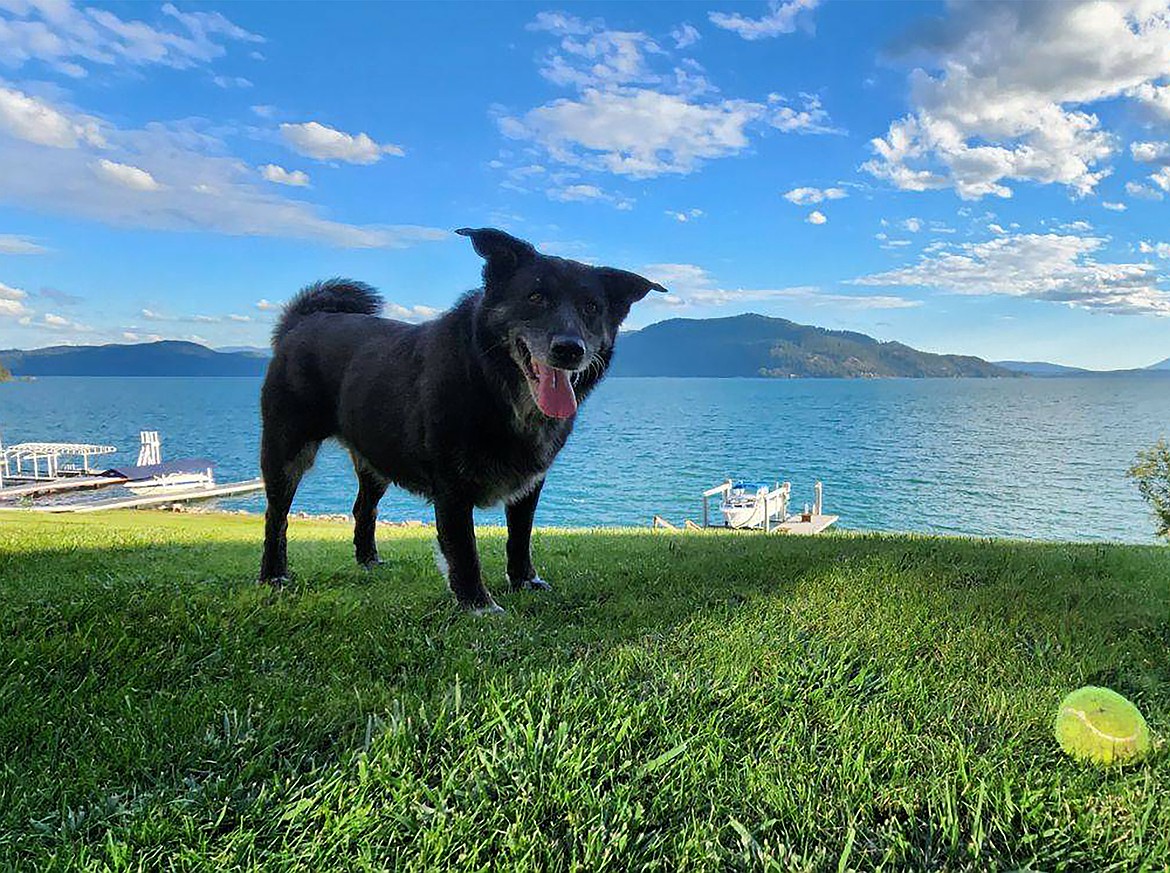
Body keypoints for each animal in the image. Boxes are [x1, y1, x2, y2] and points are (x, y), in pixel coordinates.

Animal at [263, 229, 669, 613]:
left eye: (592, 307)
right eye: (536, 297)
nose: (570, 349)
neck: (492, 381)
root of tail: (303, 322)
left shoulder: (530, 482)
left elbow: (520, 537)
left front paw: (524, 581)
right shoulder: (452, 486)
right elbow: (463, 549)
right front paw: (478, 604)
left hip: (374, 458)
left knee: (363, 508)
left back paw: (369, 561)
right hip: (285, 450)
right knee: (276, 516)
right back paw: (273, 575)